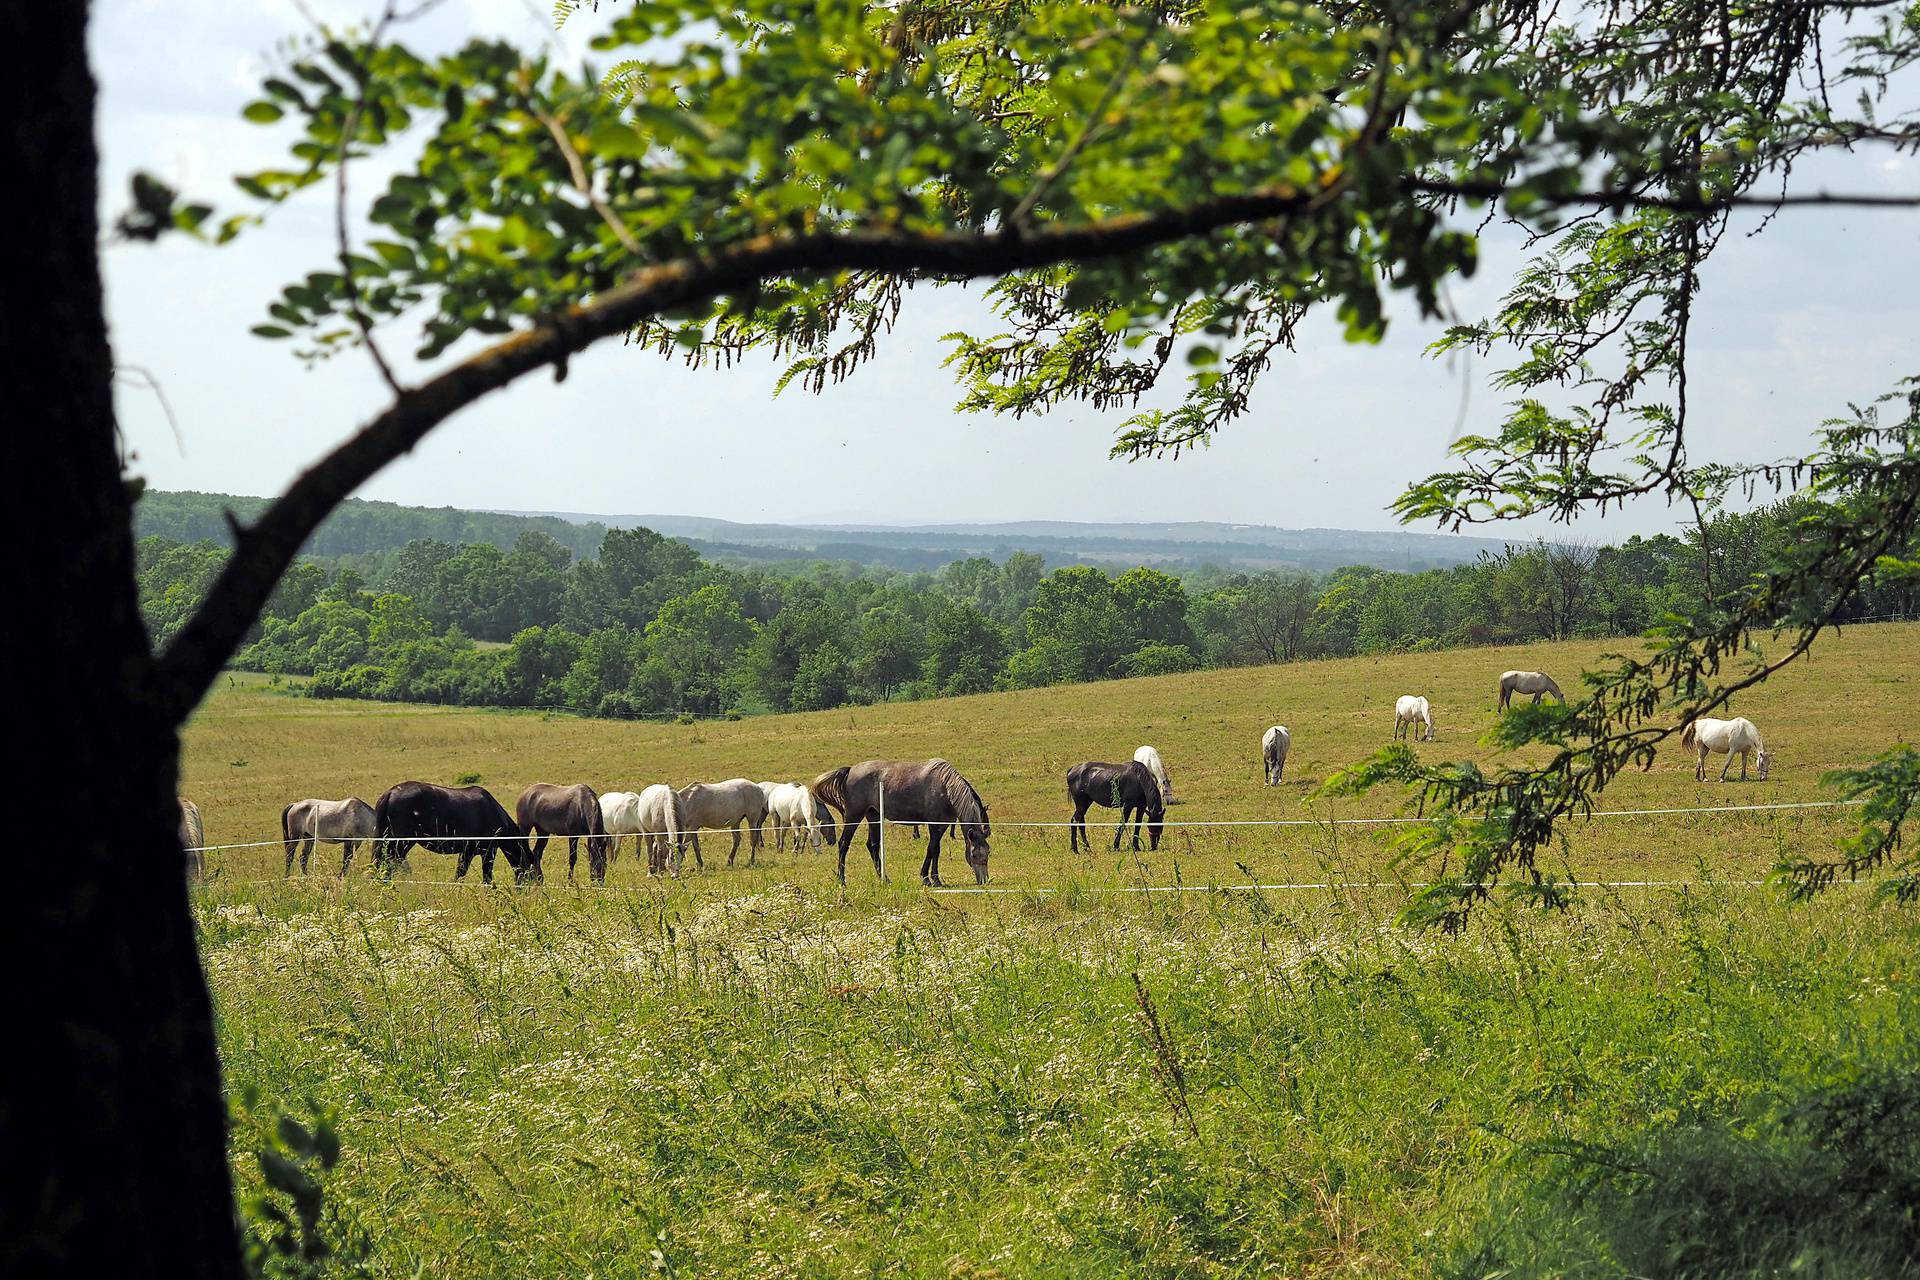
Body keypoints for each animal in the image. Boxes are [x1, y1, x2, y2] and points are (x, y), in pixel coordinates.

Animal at [370, 782, 526, 882]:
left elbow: (459, 875)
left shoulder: (467, 852)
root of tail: (390, 793)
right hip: (402, 843)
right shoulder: (487, 852)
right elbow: (485, 879)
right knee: (392, 863)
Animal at [810, 756, 990, 886]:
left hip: (873, 816)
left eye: (988, 853)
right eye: (974, 854)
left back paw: (884, 879)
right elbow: (932, 849)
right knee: (844, 844)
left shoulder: (943, 825)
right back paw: (842, 880)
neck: (945, 787)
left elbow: (935, 850)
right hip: (854, 816)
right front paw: (927, 879)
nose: (984, 880)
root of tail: (850, 770)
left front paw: (935, 878)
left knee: (873, 846)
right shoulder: (934, 825)